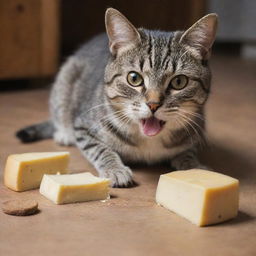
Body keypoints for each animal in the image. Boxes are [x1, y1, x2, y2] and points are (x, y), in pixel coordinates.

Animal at [16, 8, 218, 187]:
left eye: (179, 82)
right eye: (134, 78)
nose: (153, 104)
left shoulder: (196, 128)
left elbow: (188, 152)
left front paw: (194, 168)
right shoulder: (83, 127)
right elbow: (100, 149)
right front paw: (115, 169)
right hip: (65, 79)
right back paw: (64, 133)